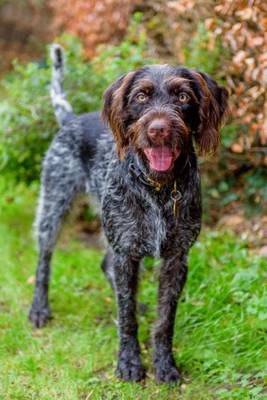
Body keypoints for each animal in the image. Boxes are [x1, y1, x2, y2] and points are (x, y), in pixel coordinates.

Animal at [29, 44, 230, 384]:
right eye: (141, 96)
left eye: (183, 96)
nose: (159, 130)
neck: (159, 189)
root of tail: (71, 118)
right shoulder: (126, 251)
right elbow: (126, 317)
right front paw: (129, 362)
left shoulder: (176, 257)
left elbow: (164, 320)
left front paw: (165, 364)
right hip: (54, 204)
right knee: (45, 260)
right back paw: (39, 309)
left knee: (107, 267)